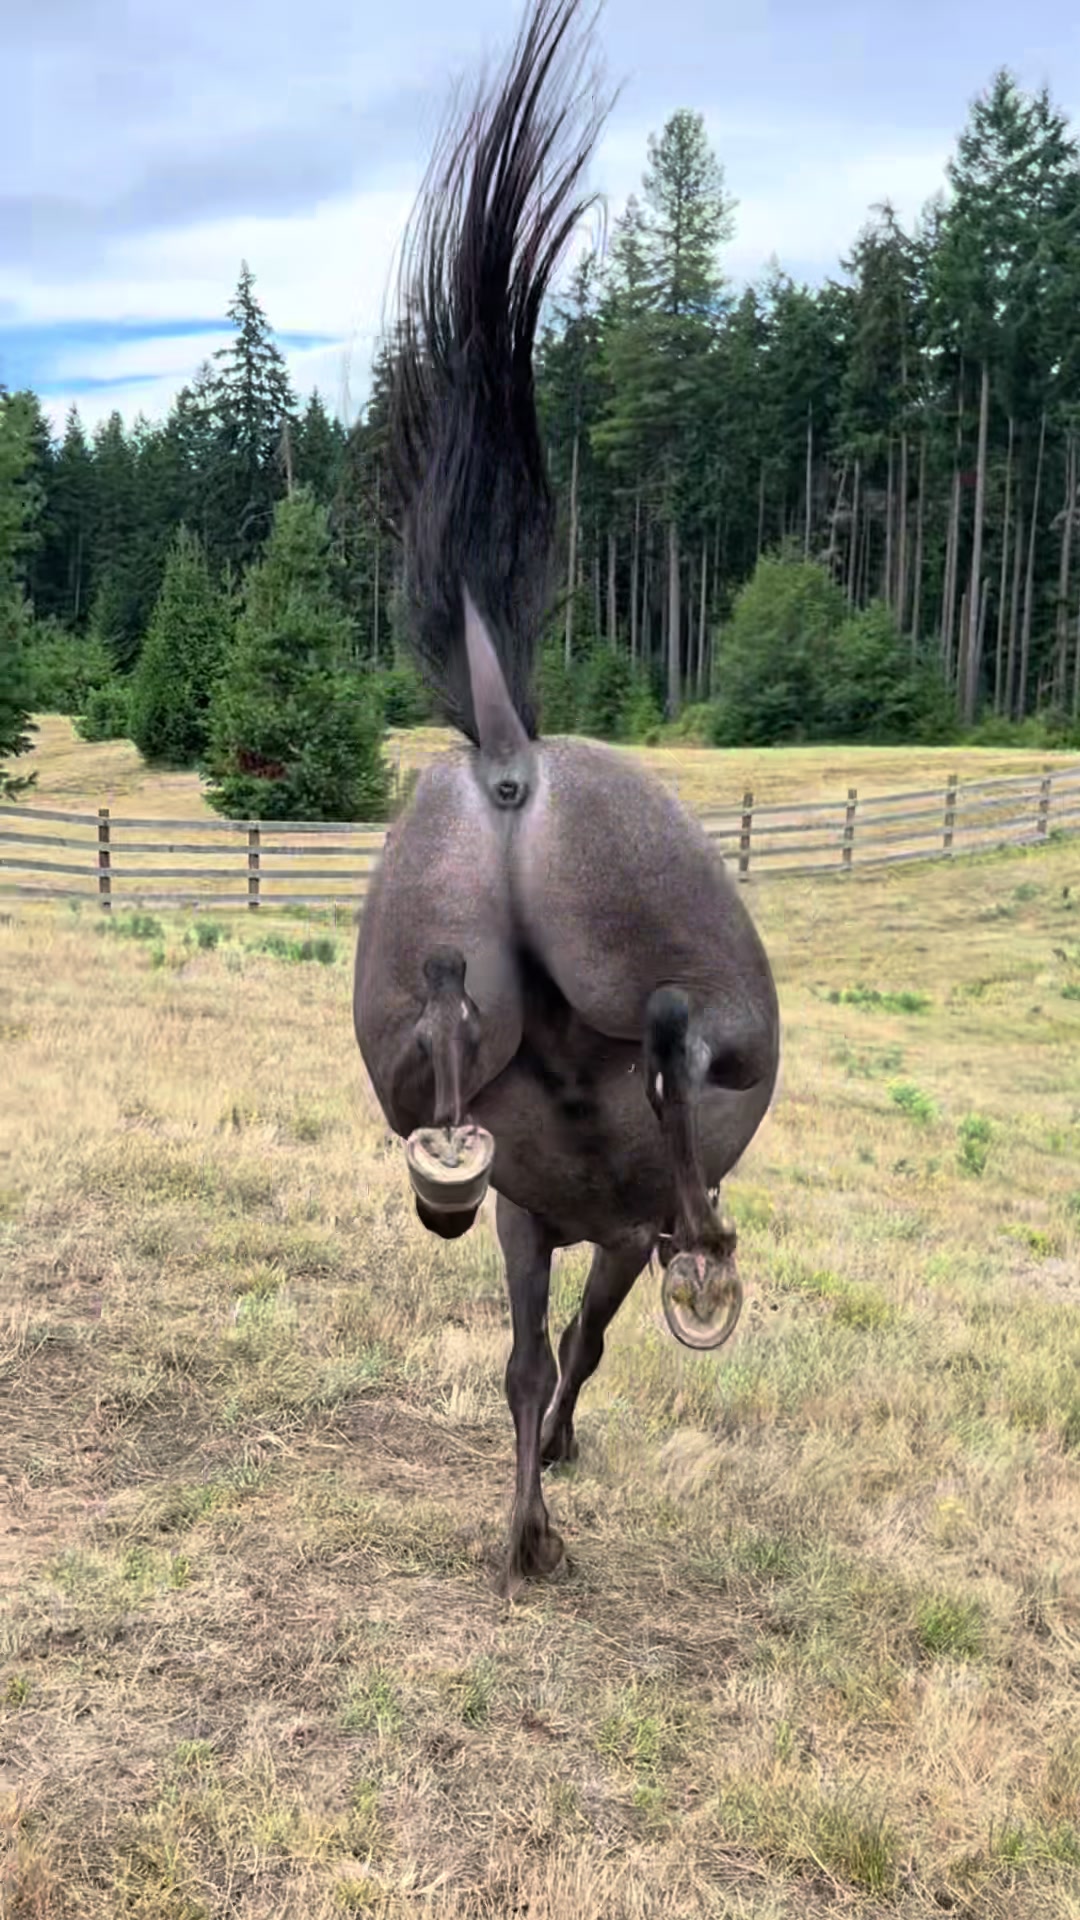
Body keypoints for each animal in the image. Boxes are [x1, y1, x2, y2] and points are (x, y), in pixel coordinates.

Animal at [353, 0, 780, 1591]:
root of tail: (510, 752)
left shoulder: (538, 1220)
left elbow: (533, 1363)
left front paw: (532, 1513)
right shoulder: (604, 1238)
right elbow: (584, 1352)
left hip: (433, 1064)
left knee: (452, 1046)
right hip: (691, 1022)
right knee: (680, 1037)